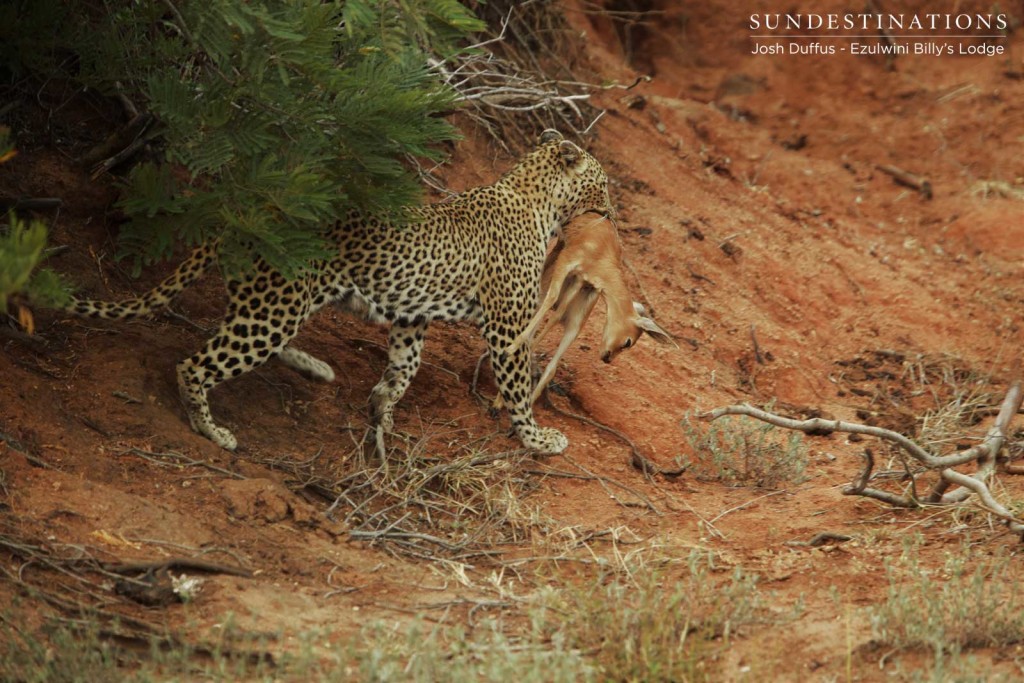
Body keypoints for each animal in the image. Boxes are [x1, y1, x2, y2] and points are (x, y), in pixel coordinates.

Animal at [70, 131, 614, 456]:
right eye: (603, 183)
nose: (614, 209)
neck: (540, 203)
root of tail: (252, 212)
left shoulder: (412, 315)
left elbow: (405, 366)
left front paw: (381, 410)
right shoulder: (506, 328)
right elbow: (518, 388)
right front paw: (538, 438)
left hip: (270, 303)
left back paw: (316, 368)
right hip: (274, 308)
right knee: (196, 364)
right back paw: (214, 430)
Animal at [493, 214, 675, 409]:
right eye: (628, 342)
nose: (608, 358)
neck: (603, 248)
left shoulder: (582, 282)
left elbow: (554, 318)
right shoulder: (567, 262)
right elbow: (551, 300)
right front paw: (509, 351)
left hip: (576, 318)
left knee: (552, 360)